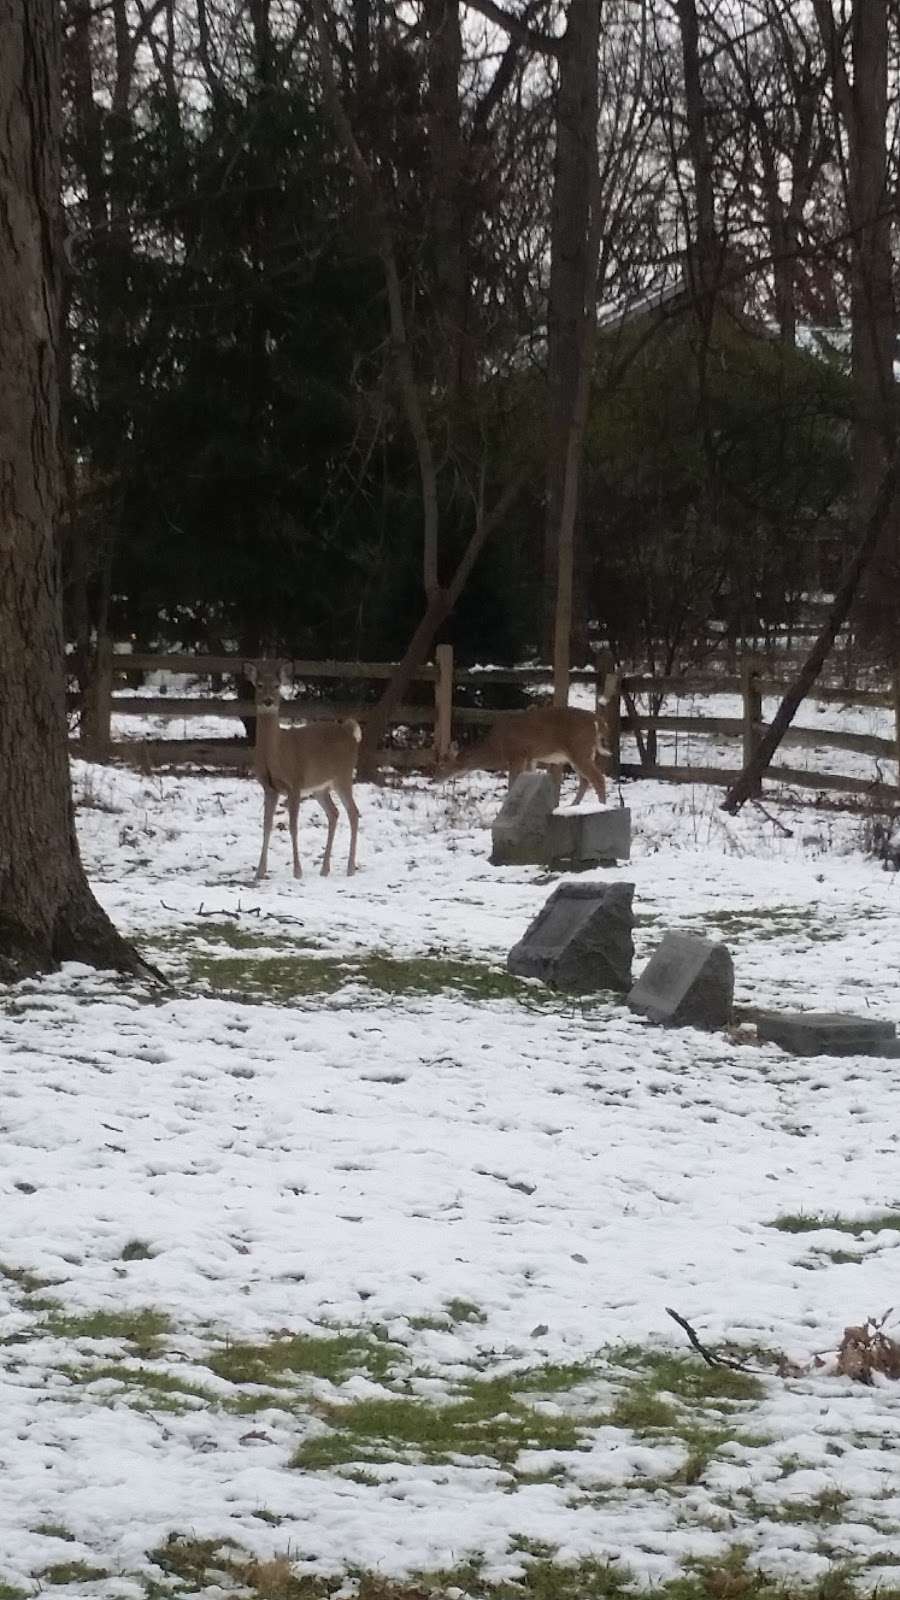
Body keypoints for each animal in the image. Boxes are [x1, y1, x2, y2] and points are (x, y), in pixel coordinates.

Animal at [253, 672, 357, 883]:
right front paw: (259, 872)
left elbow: (293, 826)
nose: (268, 701)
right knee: (334, 813)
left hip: (343, 776)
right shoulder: (269, 787)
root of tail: (349, 731)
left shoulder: (295, 784)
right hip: (320, 788)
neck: (276, 752)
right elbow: (266, 825)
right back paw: (325, 869)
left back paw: (350, 868)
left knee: (353, 813)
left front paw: (297, 871)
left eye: (277, 685)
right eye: (258, 685)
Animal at [432, 704, 605, 800]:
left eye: (442, 765)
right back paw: (573, 806)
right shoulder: (530, 757)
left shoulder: (517, 754)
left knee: (598, 779)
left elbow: (512, 784)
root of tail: (596, 719)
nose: (433, 780)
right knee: (585, 781)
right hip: (582, 753)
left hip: (580, 749)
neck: (497, 748)